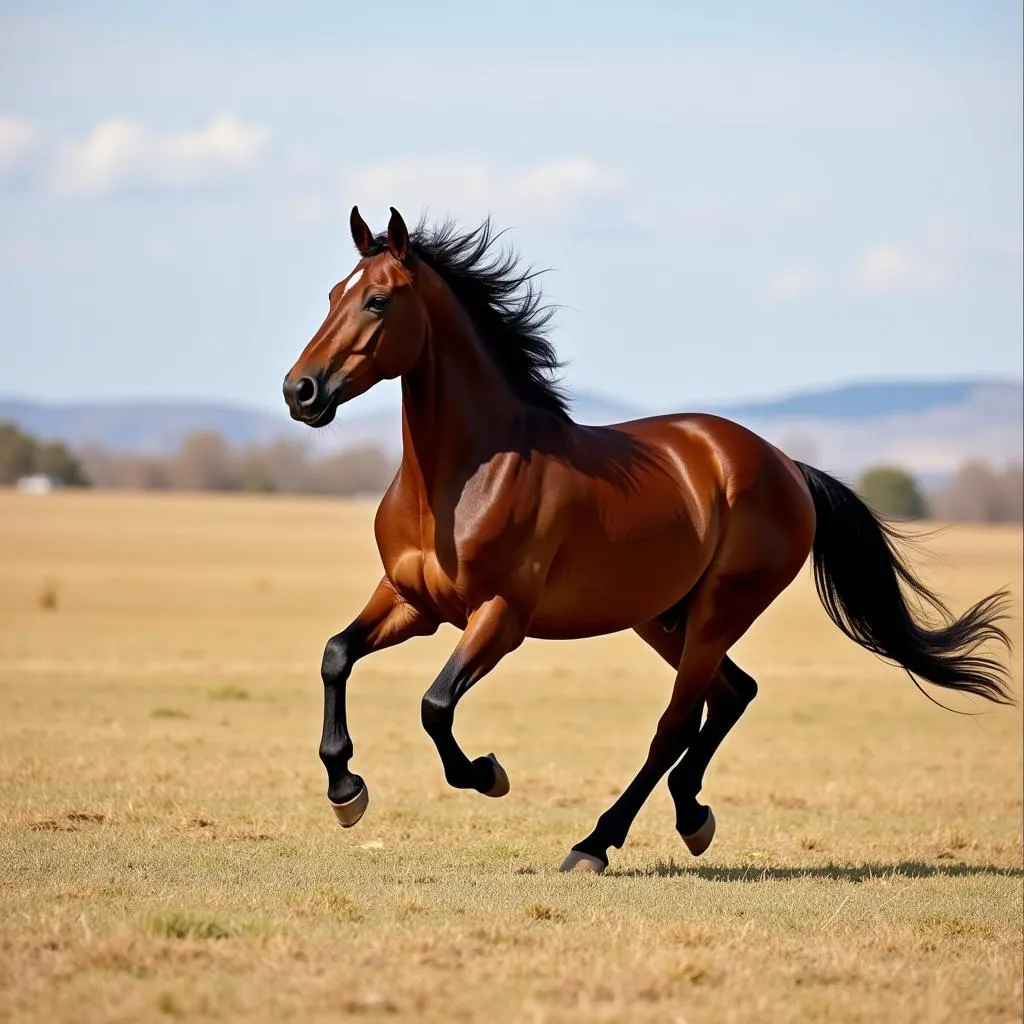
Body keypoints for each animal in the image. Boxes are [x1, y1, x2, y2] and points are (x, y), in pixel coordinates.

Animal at [282, 205, 1015, 872]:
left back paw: (594, 844)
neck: (461, 477)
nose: (300, 391)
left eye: (378, 300)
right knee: (732, 694)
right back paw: (692, 817)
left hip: (719, 610)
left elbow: (435, 706)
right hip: (661, 618)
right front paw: (346, 790)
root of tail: (785, 467)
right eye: (332, 294)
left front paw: (488, 774)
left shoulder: (500, 617)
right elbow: (335, 655)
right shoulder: (412, 601)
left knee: (677, 723)